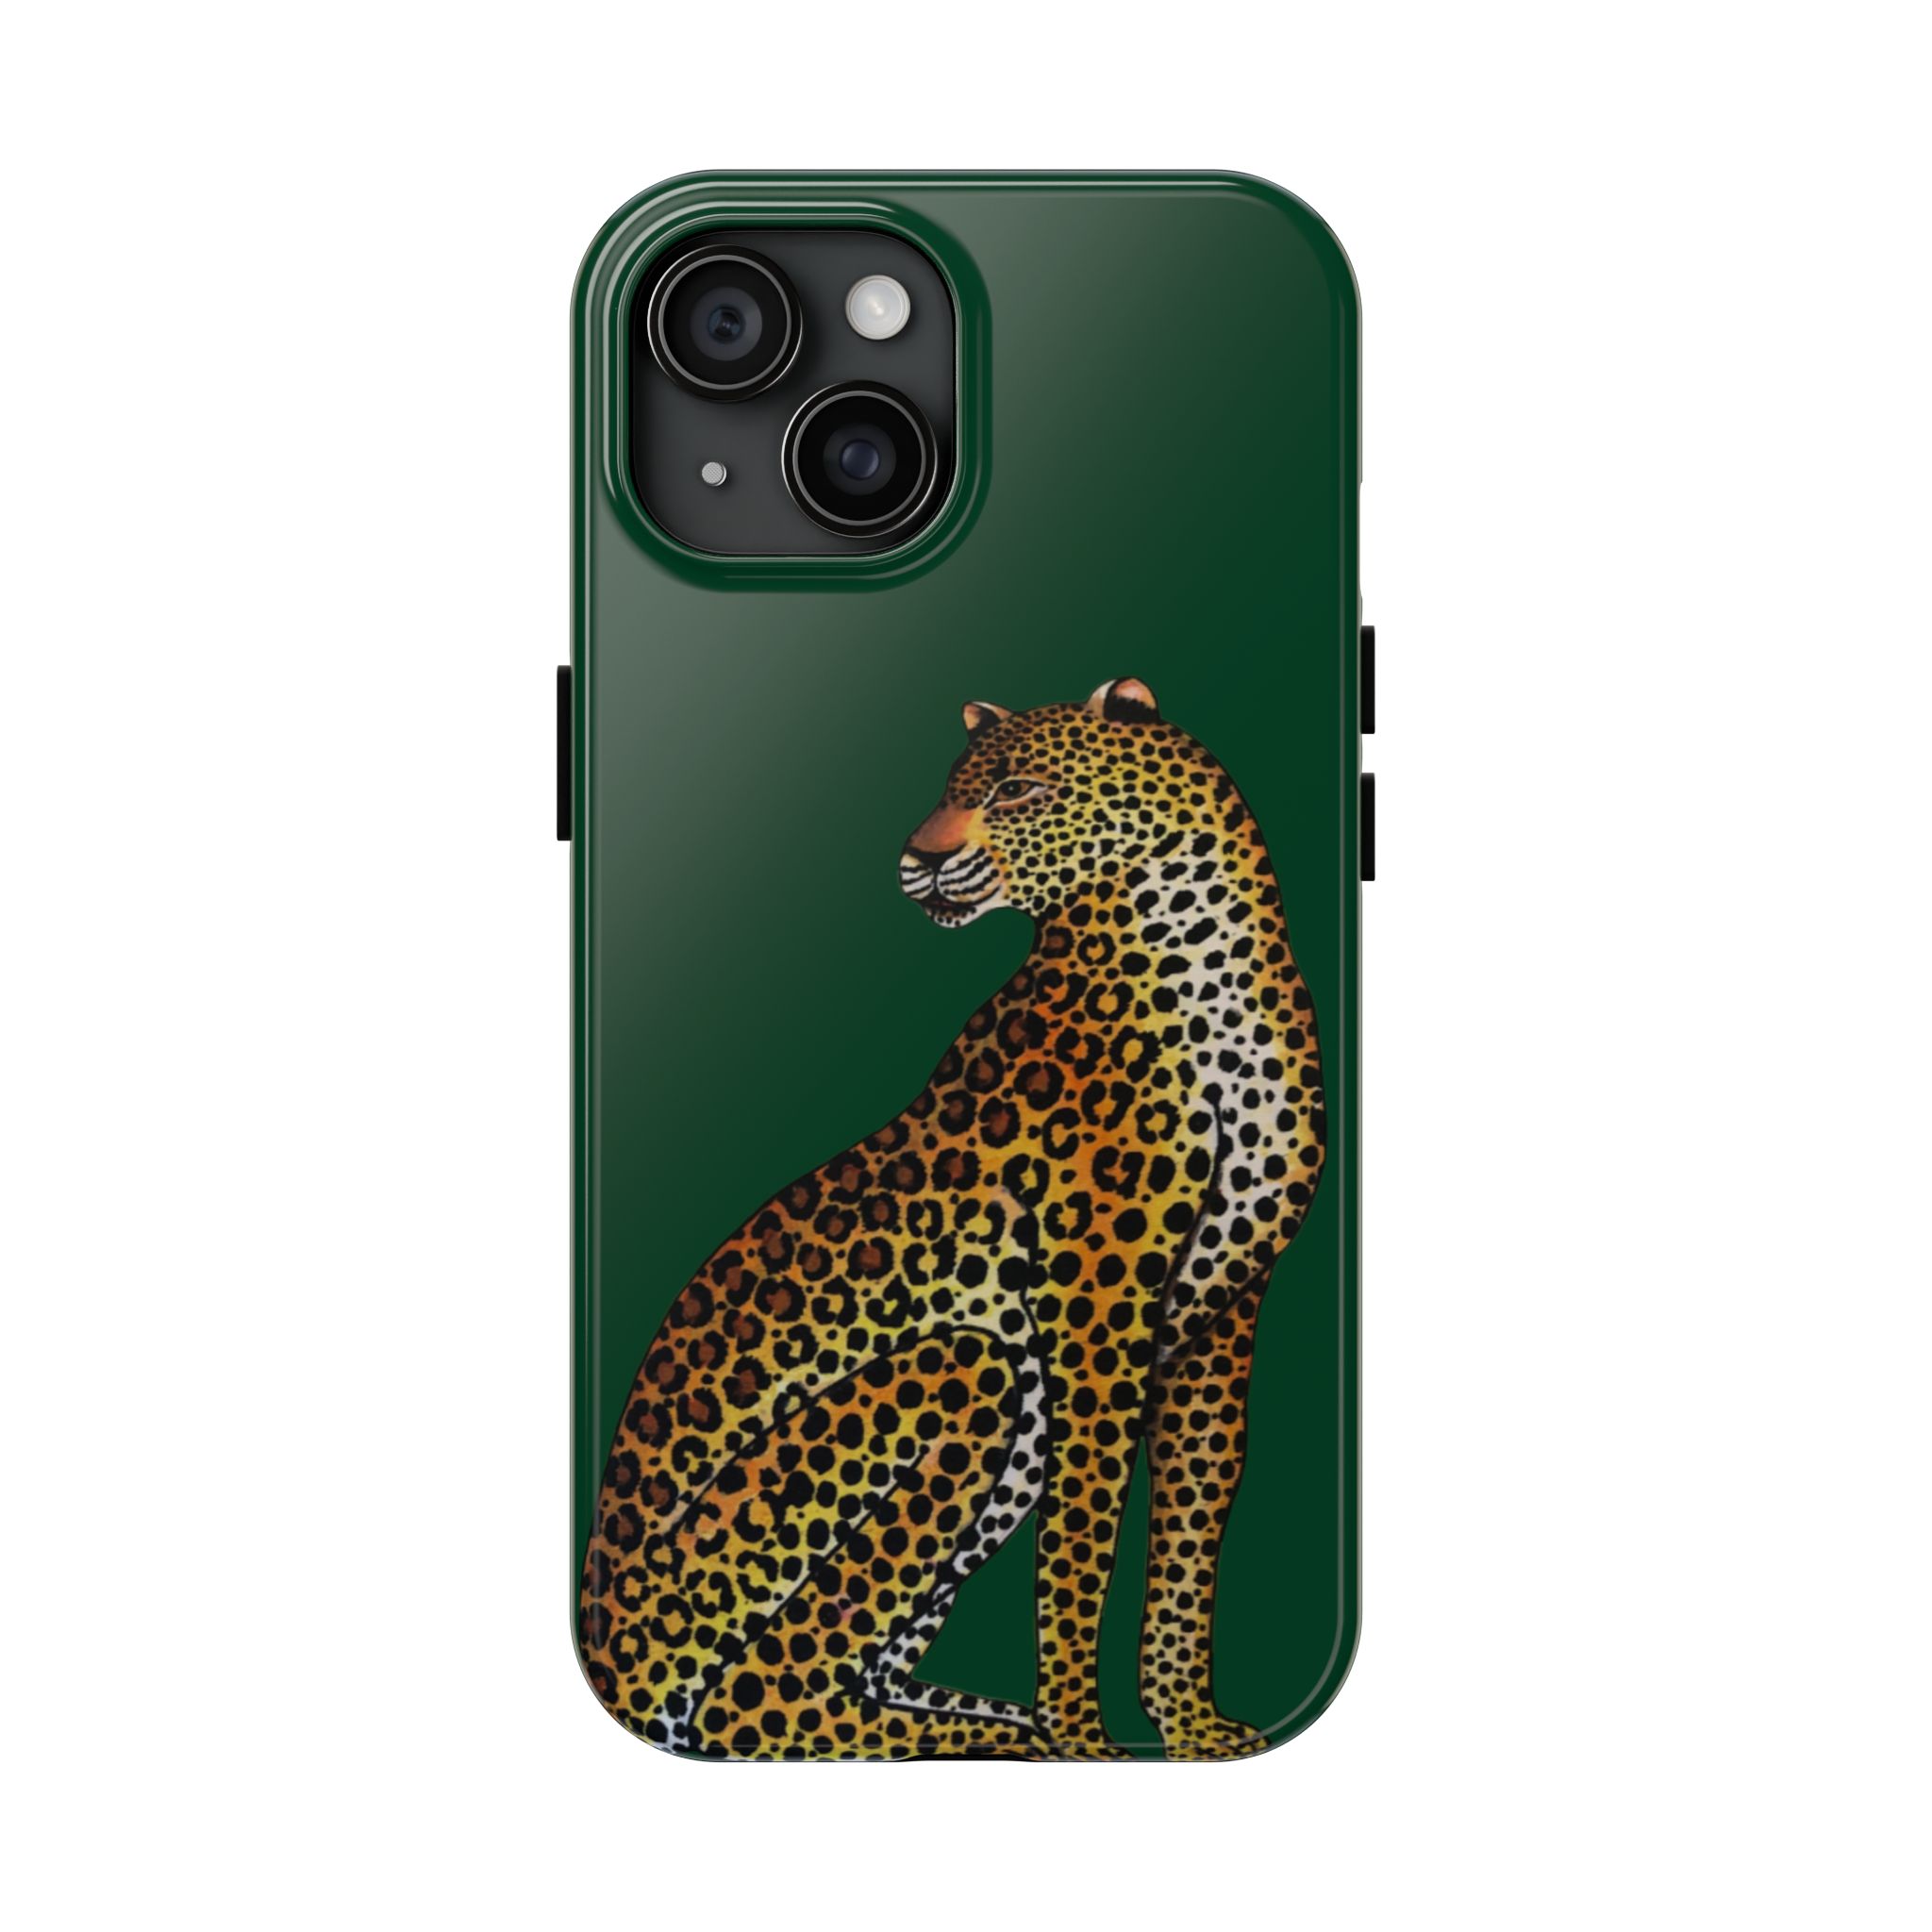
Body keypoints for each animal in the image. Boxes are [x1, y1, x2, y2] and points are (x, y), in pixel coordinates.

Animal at [578, 676, 1325, 1761]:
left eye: (1016, 789)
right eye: (949, 790)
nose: (918, 857)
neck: (1204, 956)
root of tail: (595, 1629)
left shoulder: (1223, 1317)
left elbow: (1190, 1531)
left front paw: (1190, 1729)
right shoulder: (1096, 1312)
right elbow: (1080, 1543)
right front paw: (1086, 1743)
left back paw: (988, 1724)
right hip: (966, 1376)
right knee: (764, 1699)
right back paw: (1009, 1737)